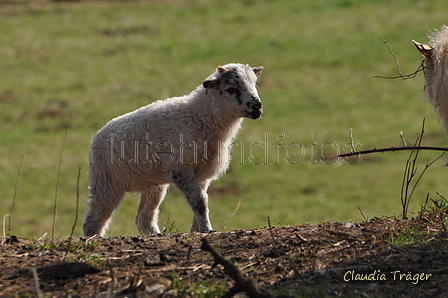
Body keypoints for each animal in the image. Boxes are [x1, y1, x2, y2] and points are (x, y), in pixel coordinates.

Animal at [84, 63, 262, 237]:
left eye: (254, 84)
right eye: (231, 89)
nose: (257, 106)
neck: (202, 117)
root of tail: (98, 135)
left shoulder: (202, 173)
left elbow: (202, 200)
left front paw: (197, 231)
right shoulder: (181, 169)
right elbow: (199, 201)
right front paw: (207, 229)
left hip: (152, 184)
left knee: (143, 218)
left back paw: (155, 235)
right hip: (106, 182)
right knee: (94, 219)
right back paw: (91, 238)